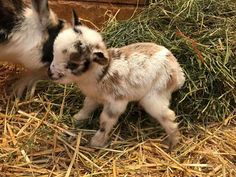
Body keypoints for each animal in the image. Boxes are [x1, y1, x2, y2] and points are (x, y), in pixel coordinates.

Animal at [49, 12, 185, 148]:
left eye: (73, 64)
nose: (51, 74)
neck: (101, 73)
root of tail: (178, 72)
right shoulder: (94, 96)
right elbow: (87, 106)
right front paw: (77, 118)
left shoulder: (115, 103)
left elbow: (105, 121)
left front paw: (96, 142)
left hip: (155, 95)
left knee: (168, 116)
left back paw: (172, 143)